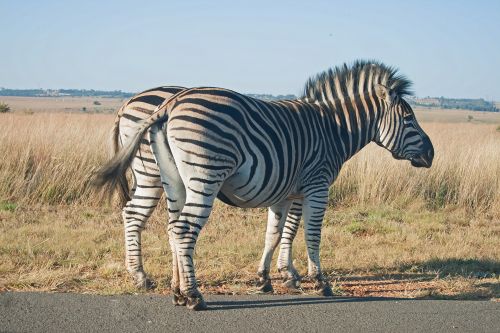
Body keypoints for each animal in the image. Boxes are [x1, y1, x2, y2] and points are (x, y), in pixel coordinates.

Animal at [94, 60, 434, 312]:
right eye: (409, 119)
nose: (431, 154)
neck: (332, 129)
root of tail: (162, 106)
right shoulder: (316, 185)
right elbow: (309, 234)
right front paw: (315, 280)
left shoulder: (284, 191)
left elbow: (275, 233)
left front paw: (266, 278)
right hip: (191, 174)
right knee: (175, 226)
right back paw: (186, 293)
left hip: (171, 179)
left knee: (169, 225)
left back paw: (174, 290)